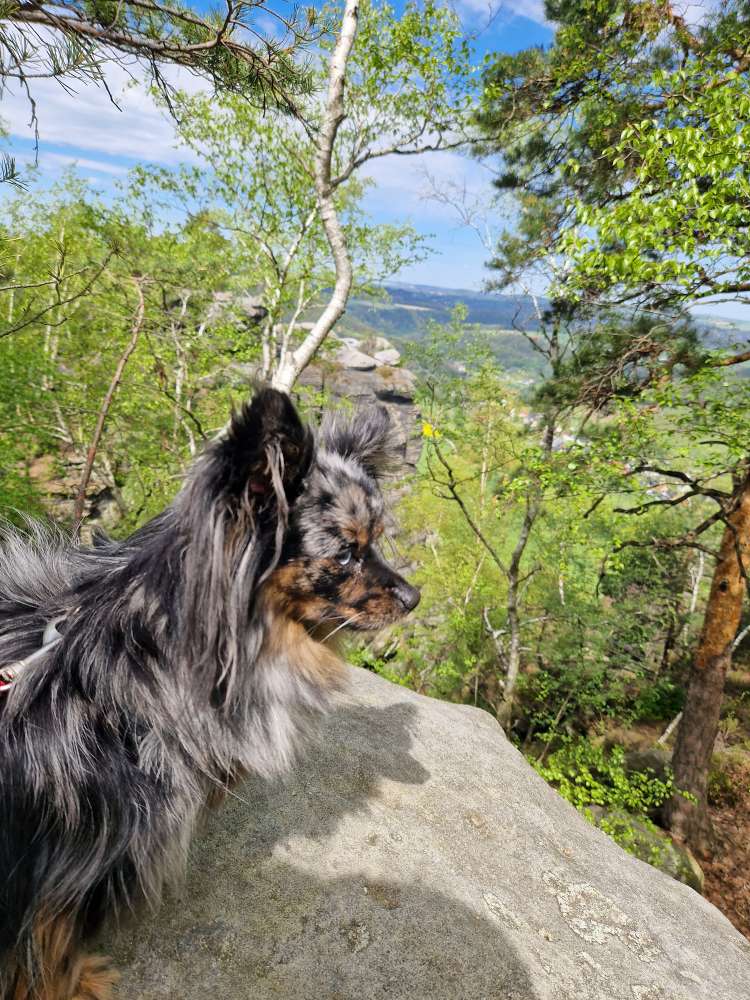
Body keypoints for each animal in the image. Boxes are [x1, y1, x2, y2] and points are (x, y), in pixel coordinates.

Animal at [0, 390, 420, 1000]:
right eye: (345, 554)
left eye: (378, 541)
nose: (414, 597)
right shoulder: (61, 861)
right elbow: (47, 941)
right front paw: (75, 984)